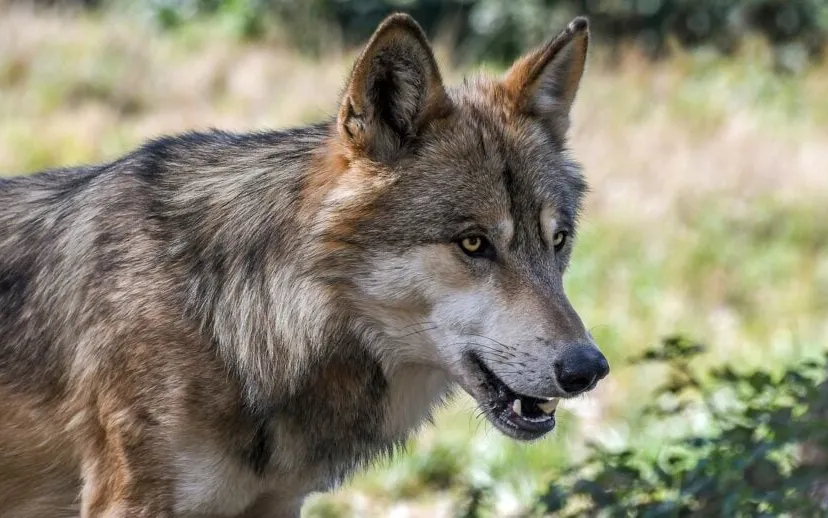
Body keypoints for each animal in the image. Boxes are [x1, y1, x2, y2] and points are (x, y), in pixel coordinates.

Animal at [0, 12, 608, 518]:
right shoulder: (130, 502)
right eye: (474, 244)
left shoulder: (278, 504)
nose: (589, 369)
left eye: (558, 240)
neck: (231, 322)